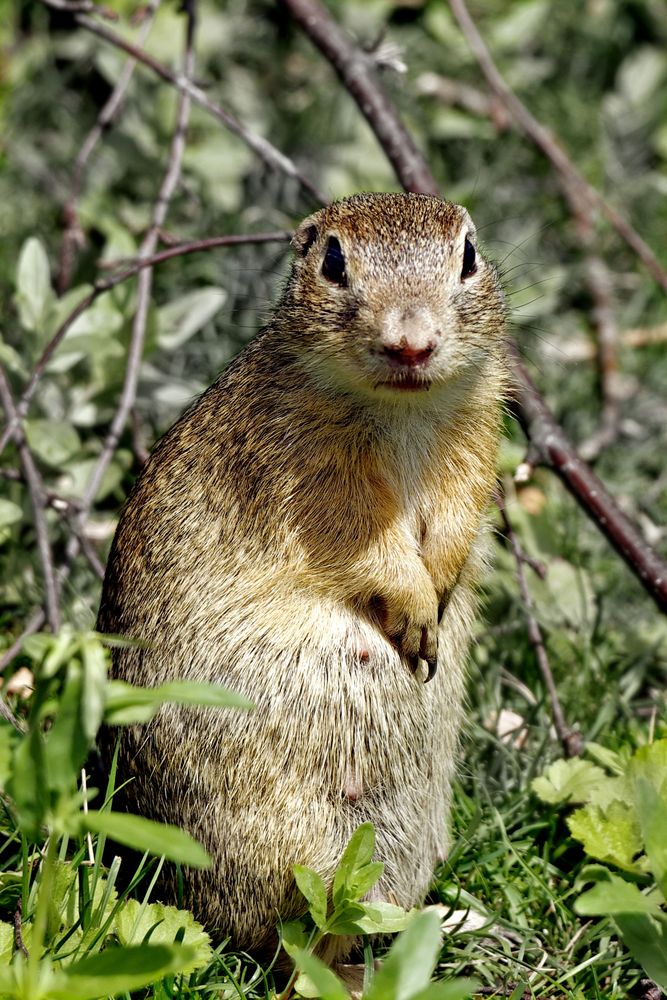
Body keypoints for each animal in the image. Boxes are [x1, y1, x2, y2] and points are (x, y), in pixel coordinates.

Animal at [98, 189, 506, 960]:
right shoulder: (311, 474)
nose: (412, 343)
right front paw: (416, 612)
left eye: (468, 255)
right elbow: (368, 547)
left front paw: (437, 599)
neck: (402, 408)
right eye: (333, 261)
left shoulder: (474, 441)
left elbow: (457, 518)